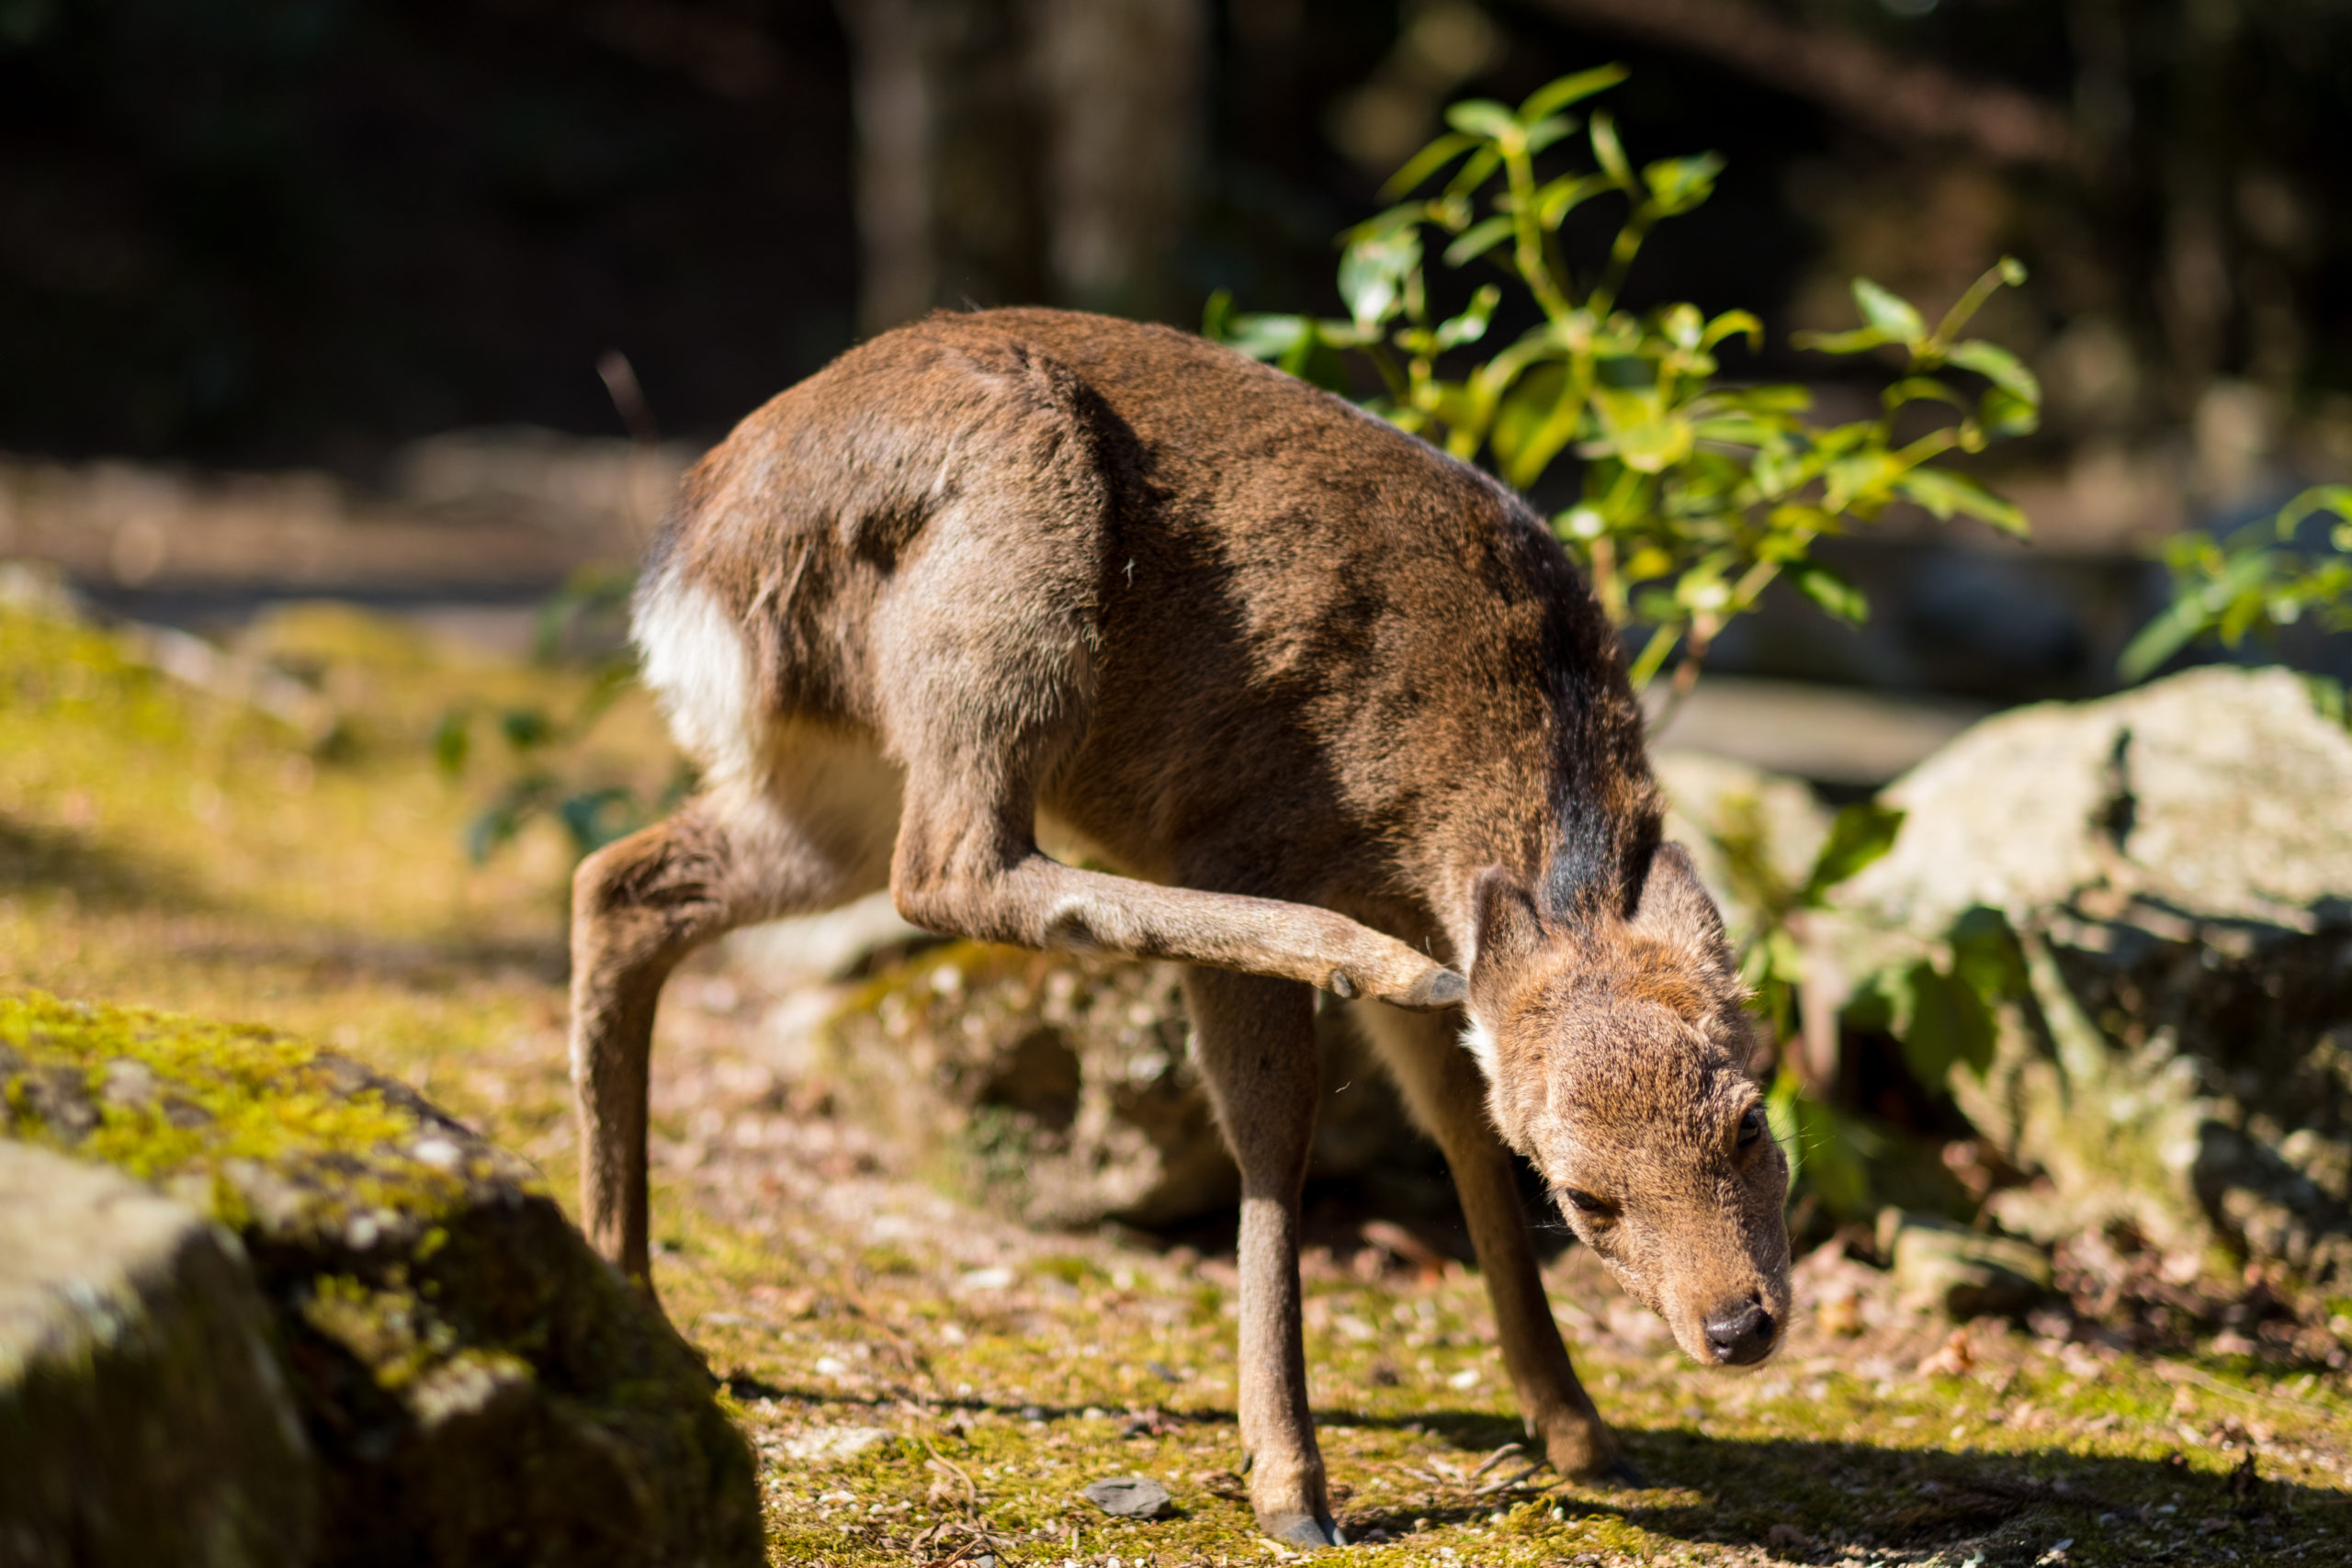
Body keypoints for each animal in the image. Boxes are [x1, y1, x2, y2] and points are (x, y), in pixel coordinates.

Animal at [573, 303, 1796, 1541]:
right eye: (1584, 1196)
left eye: (1751, 1122)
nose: (1737, 1325)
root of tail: (688, 573)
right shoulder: (1250, 836)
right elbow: (1273, 1122)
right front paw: (1290, 1485)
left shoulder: (1457, 942)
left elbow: (1458, 1115)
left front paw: (1581, 1431)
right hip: (1010, 561)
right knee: (951, 868)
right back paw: (1348, 959)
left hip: (834, 771)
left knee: (622, 880)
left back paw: (641, 1304)